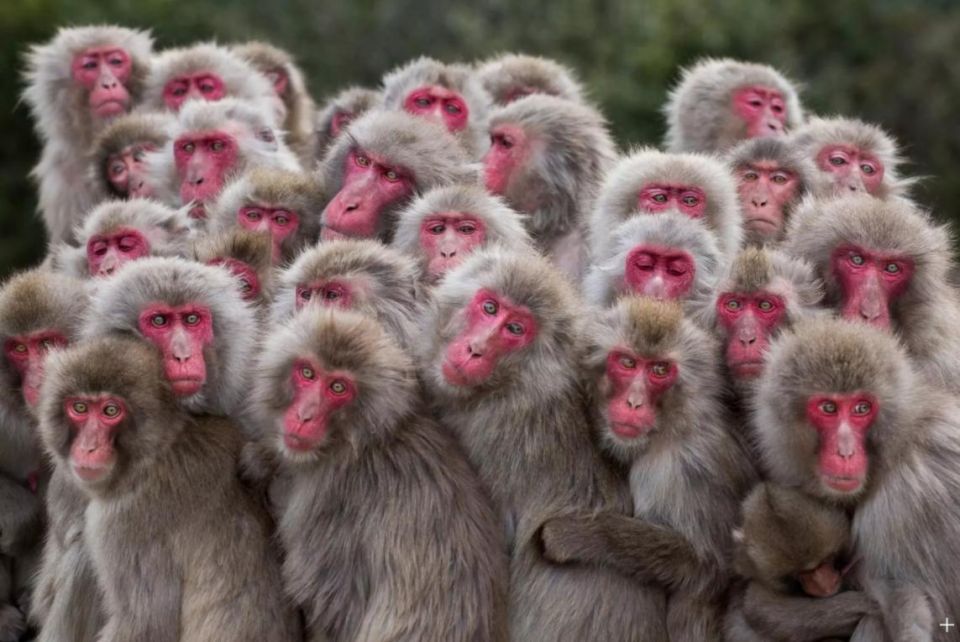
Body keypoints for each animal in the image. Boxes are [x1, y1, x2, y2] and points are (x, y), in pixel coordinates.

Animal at [38, 335, 300, 641]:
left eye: (111, 410)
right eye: (79, 408)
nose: (88, 447)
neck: (157, 451)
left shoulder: (124, 524)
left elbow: (145, 625)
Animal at [250, 306, 508, 641]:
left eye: (338, 387)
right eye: (307, 373)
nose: (304, 416)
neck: (360, 443)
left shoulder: (331, 501)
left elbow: (338, 607)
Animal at [537, 296, 756, 640]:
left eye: (659, 369)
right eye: (628, 363)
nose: (634, 403)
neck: (672, 427)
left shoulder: (680, 469)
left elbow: (707, 566)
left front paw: (578, 534)